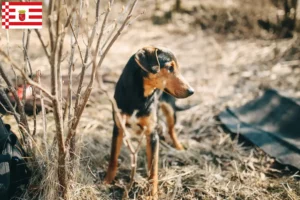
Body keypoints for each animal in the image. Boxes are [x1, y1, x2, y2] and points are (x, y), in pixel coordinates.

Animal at [105, 45, 195, 198]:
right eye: (169, 68)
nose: (191, 91)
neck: (139, 96)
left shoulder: (152, 134)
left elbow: (153, 169)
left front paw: (152, 194)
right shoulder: (118, 128)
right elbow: (113, 158)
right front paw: (106, 181)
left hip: (170, 110)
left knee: (171, 129)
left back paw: (178, 147)